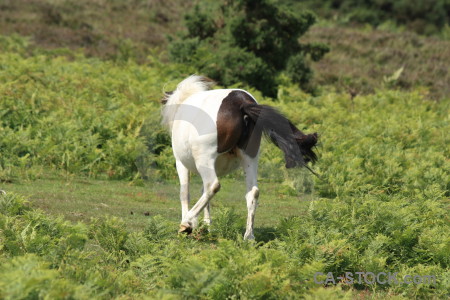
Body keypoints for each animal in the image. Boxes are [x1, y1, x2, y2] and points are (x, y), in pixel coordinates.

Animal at [161, 75, 316, 239]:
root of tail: (241, 103)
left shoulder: (181, 164)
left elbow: (185, 193)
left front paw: (190, 224)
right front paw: (207, 225)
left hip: (205, 159)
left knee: (212, 186)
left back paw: (187, 221)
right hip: (249, 159)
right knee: (252, 192)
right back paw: (249, 236)